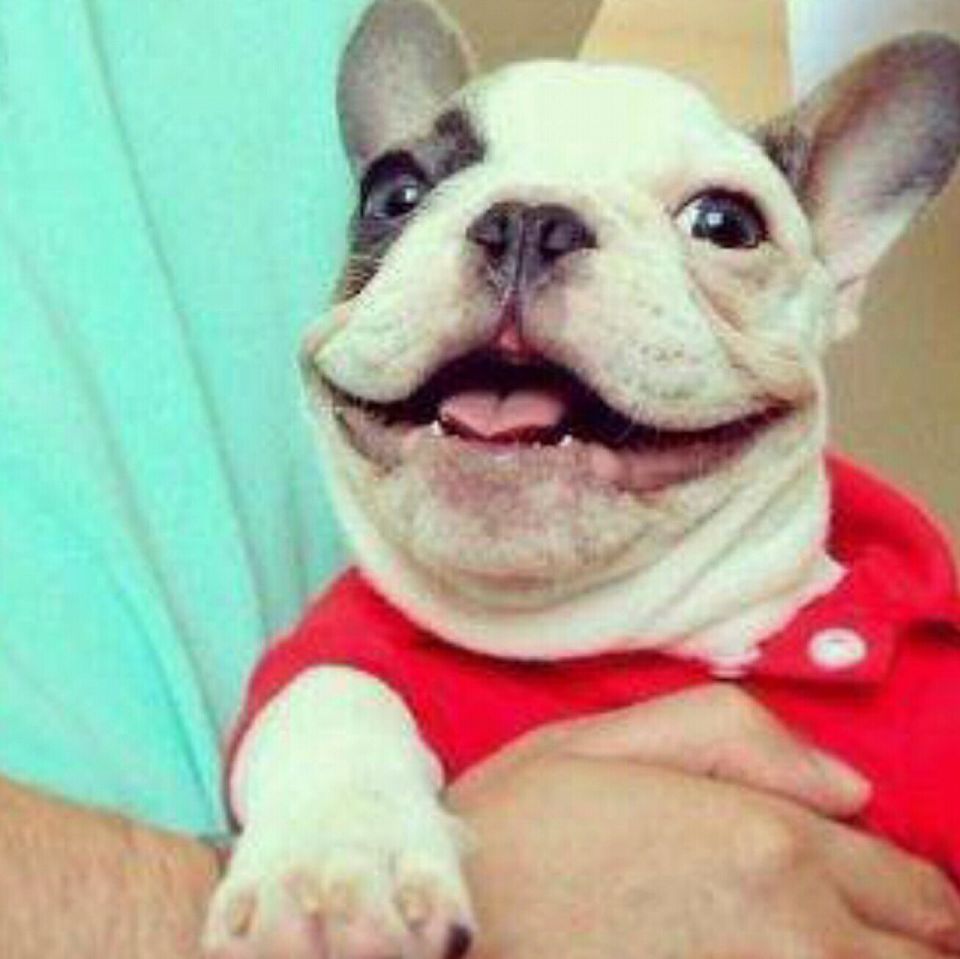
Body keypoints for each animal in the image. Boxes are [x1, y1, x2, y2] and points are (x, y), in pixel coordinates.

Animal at [202, 1, 960, 956]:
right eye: (393, 193)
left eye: (726, 224)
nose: (529, 219)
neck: (592, 626)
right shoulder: (331, 653)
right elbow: (335, 700)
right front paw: (336, 868)